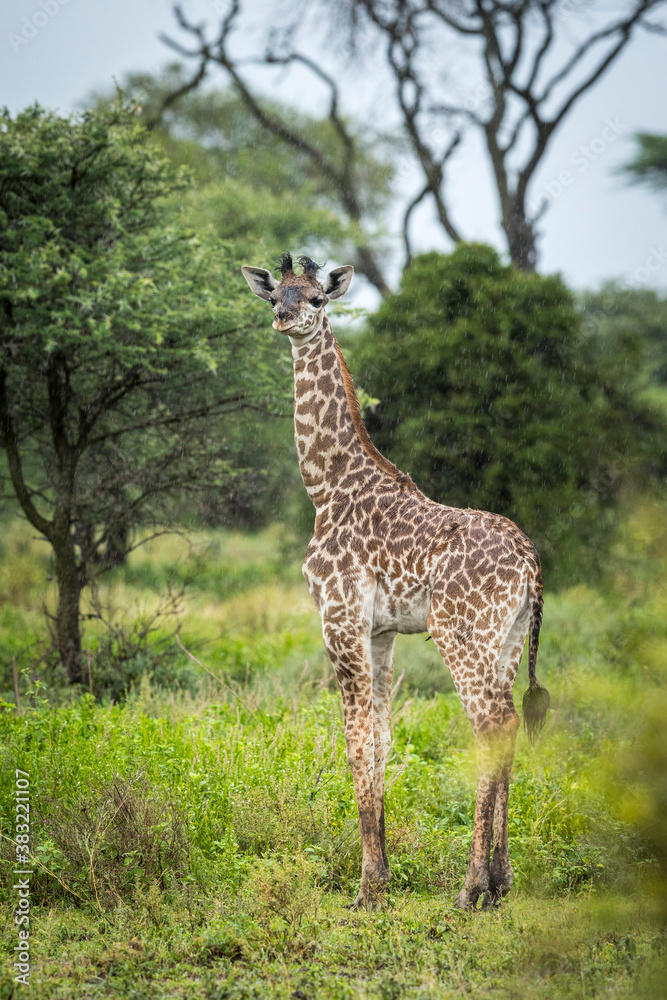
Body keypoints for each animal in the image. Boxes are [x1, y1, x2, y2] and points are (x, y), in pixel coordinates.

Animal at [243, 254, 552, 912]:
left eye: (315, 299)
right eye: (275, 297)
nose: (285, 321)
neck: (326, 485)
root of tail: (532, 565)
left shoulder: (339, 619)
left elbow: (356, 741)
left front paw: (366, 888)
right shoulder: (380, 632)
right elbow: (382, 740)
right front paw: (381, 875)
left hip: (461, 634)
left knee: (491, 725)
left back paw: (471, 888)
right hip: (509, 639)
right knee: (509, 723)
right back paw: (502, 881)